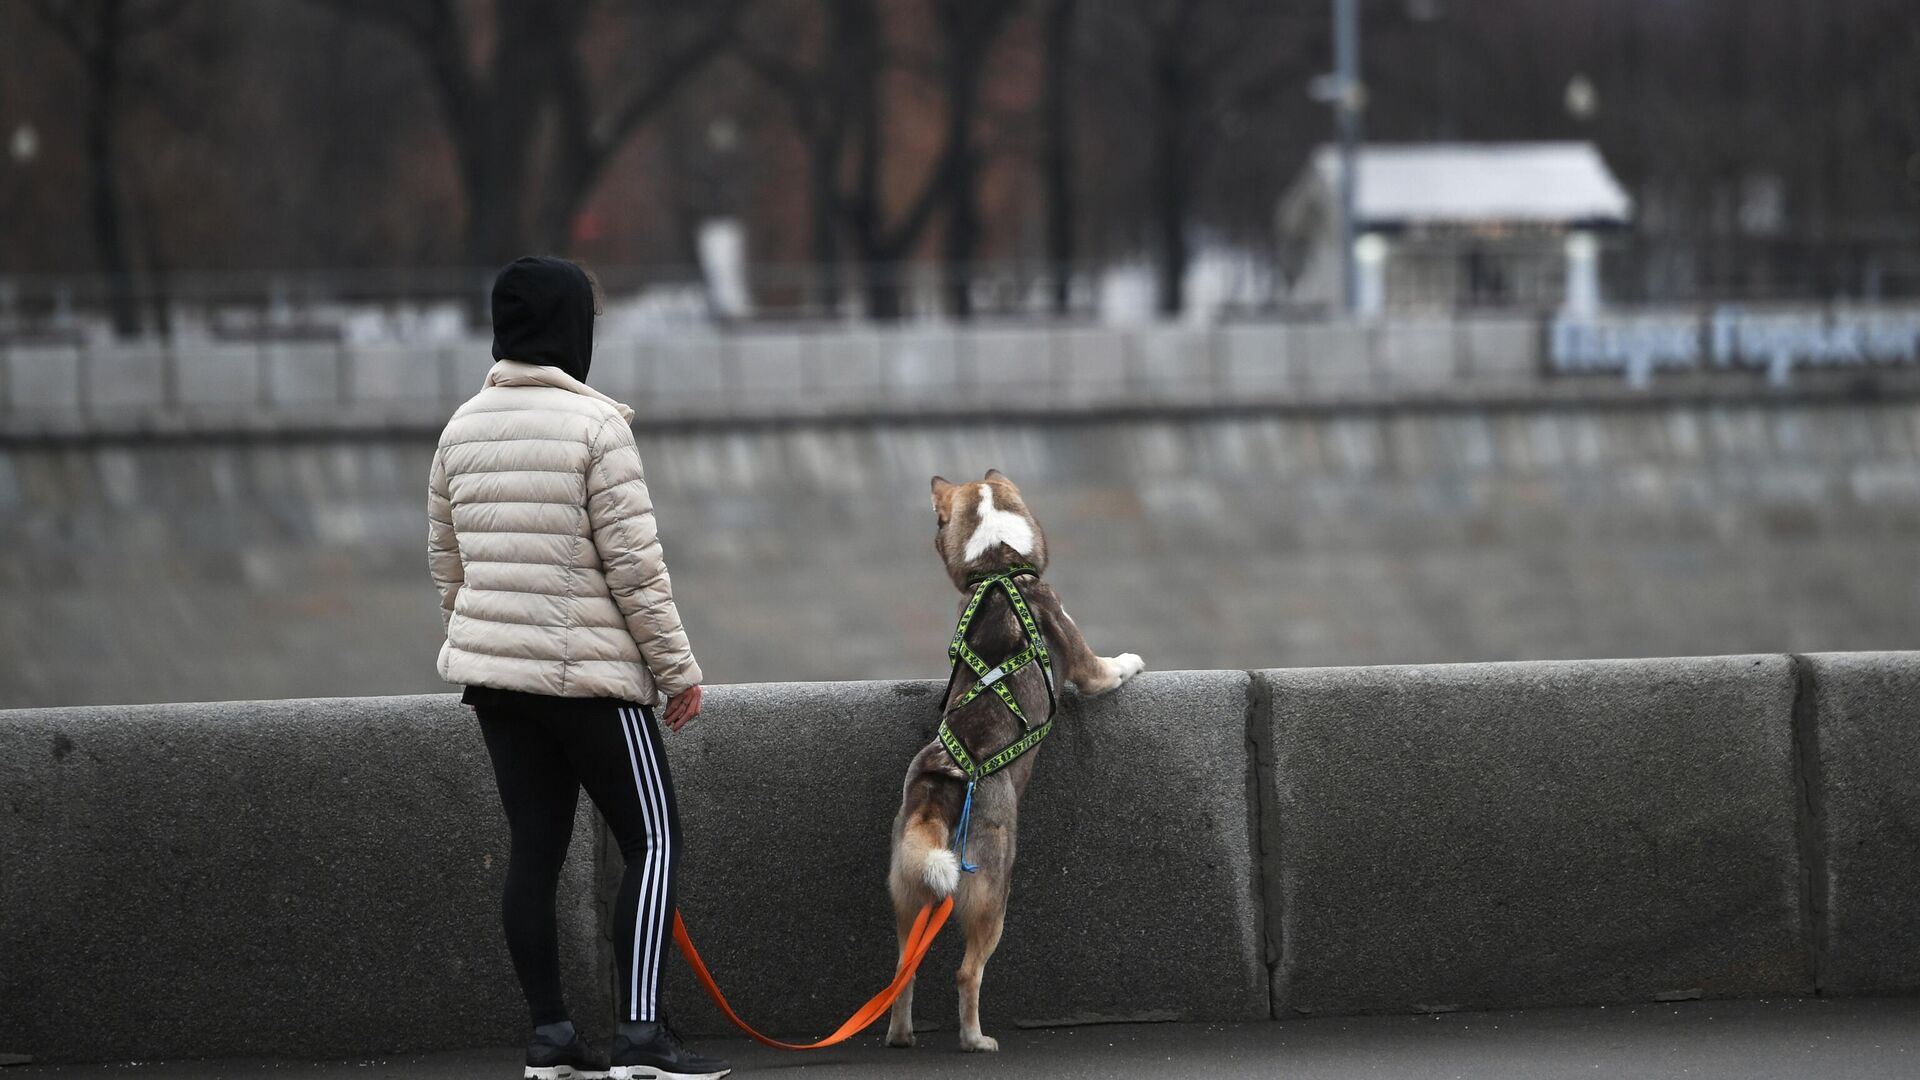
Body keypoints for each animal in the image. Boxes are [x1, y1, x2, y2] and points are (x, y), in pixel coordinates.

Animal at [883, 466, 1136, 1045]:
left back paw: (900, 1035)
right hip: (991, 892)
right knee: (966, 972)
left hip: (908, 889)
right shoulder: (1085, 663)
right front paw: (1132, 660)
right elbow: (1108, 669)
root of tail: (943, 780)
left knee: (903, 969)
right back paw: (976, 1040)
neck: (999, 569)